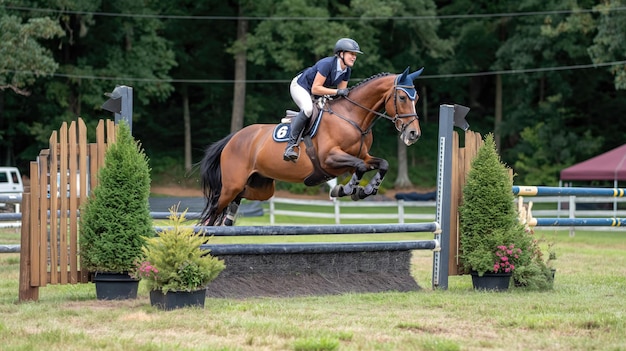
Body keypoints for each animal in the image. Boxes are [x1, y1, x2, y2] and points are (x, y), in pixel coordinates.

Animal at [200, 66, 424, 226]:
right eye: (402, 97)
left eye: (417, 99)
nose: (413, 134)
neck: (352, 117)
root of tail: (233, 138)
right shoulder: (330, 158)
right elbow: (360, 167)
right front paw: (345, 189)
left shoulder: (361, 157)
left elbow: (381, 164)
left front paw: (366, 190)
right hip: (232, 184)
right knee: (213, 210)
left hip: (261, 186)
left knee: (239, 197)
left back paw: (230, 217)